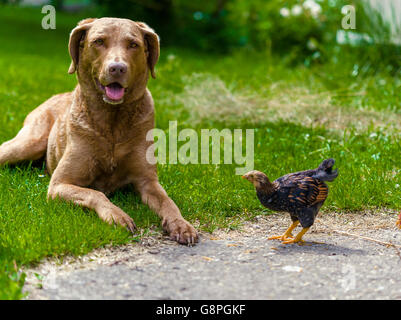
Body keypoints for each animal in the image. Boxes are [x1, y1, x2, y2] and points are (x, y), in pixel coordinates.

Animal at [0, 17, 198, 245]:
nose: (117, 68)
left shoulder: (148, 180)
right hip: (29, 142)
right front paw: (118, 216)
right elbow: (96, 194)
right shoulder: (59, 184)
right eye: (99, 41)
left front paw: (181, 225)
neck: (112, 121)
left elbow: (168, 202)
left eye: (133, 44)